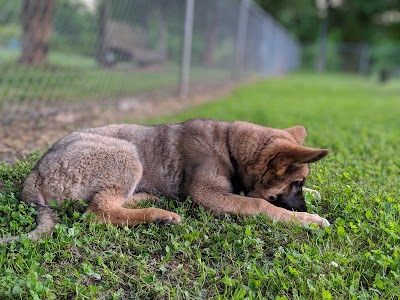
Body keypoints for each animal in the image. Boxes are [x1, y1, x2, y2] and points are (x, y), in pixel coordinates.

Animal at [0, 118, 330, 243]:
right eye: (296, 183)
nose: (301, 206)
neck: (229, 146)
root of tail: (34, 175)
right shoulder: (207, 195)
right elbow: (259, 204)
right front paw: (309, 219)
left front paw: (317, 195)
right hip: (126, 153)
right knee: (98, 213)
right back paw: (159, 215)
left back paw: (149, 199)